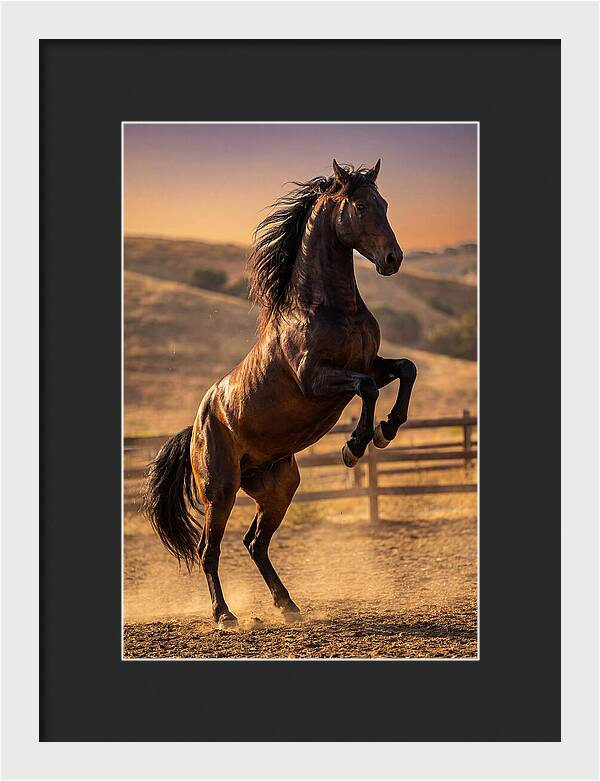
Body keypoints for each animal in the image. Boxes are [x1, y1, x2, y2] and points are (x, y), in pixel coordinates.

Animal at [143, 159, 417, 629]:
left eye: (384, 203)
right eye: (361, 205)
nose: (392, 259)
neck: (328, 308)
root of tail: (196, 425)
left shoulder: (370, 364)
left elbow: (405, 370)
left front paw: (387, 430)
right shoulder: (316, 379)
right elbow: (365, 390)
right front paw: (354, 446)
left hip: (278, 486)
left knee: (255, 542)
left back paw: (287, 605)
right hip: (221, 489)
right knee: (208, 549)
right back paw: (224, 615)